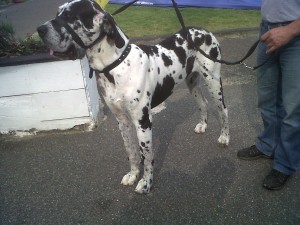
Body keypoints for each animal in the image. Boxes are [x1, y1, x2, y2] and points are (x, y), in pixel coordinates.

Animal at [37, 0, 230, 193]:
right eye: (58, 13)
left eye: (69, 16)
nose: (40, 29)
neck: (115, 66)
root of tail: (204, 31)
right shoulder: (122, 121)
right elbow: (131, 152)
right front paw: (133, 174)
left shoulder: (142, 122)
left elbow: (147, 156)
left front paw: (146, 182)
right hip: (193, 83)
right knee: (203, 103)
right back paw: (203, 125)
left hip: (213, 83)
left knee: (224, 110)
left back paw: (224, 137)